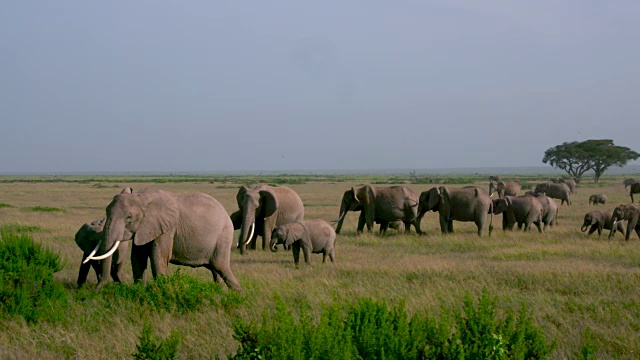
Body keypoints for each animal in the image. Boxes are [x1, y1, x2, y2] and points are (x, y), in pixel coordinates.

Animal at [84, 187, 241, 292]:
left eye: (128, 217)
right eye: (106, 212)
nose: (96, 290)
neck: (141, 198)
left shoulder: (167, 229)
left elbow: (158, 258)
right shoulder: (144, 228)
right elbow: (137, 258)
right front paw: (139, 290)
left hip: (223, 236)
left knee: (221, 266)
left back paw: (239, 295)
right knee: (215, 270)